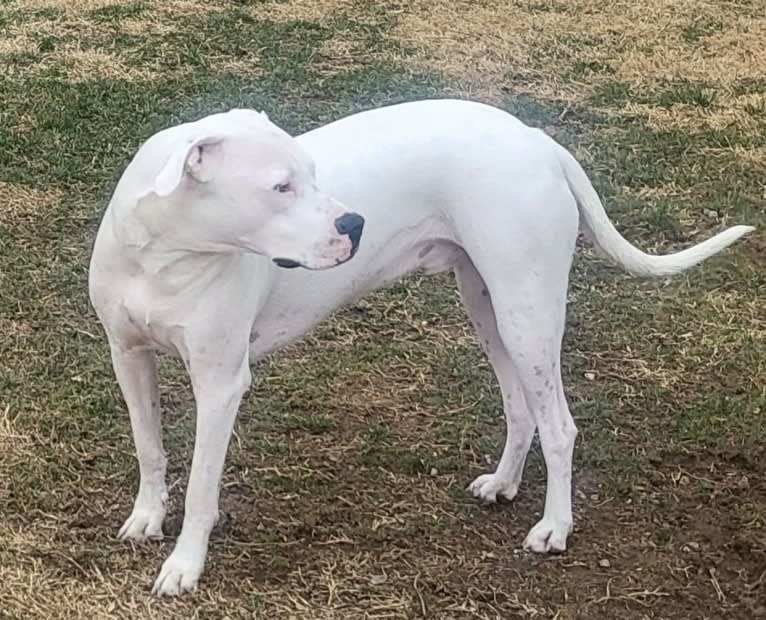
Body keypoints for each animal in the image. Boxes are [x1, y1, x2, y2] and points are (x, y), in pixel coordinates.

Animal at [88, 99, 756, 592]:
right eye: (280, 187)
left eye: (311, 173)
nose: (354, 224)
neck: (167, 255)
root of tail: (537, 140)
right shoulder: (128, 358)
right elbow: (150, 447)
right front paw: (147, 517)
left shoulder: (221, 382)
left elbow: (203, 485)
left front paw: (184, 566)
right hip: (488, 309)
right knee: (520, 407)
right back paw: (503, 484)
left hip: (528, 314)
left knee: (559, 426)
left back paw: (554, 528)